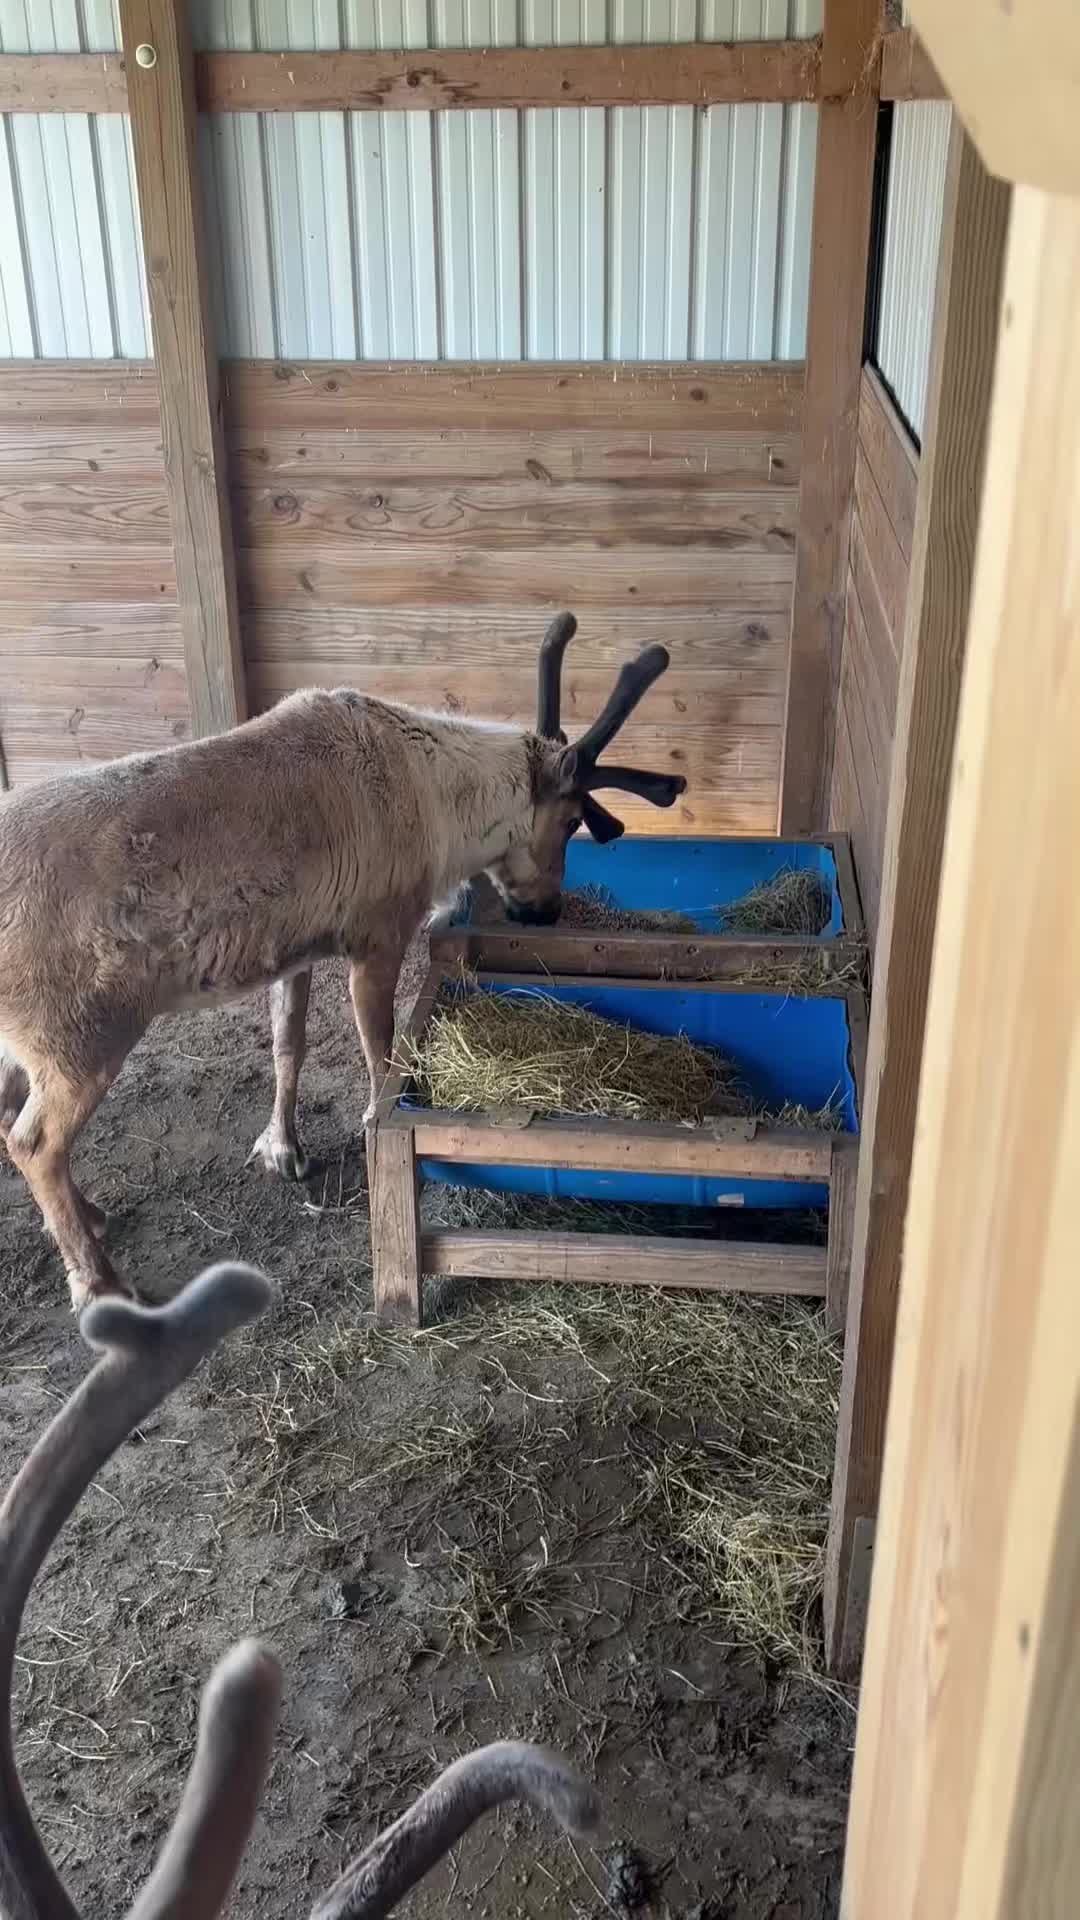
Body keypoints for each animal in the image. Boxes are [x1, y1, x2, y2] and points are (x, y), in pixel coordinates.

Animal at [0, 613, 685, 1310]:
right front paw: (383, 1134)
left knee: (10, 1119)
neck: (440, 799)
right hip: (78, 1038)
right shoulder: (378, 936)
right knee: (34, 1142)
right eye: (571, 820)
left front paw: (282, 1148)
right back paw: (98, 1280)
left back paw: (90, 1217)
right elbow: (383, 1054)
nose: (543, 912)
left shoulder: (293, 951)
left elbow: (288, 1045)